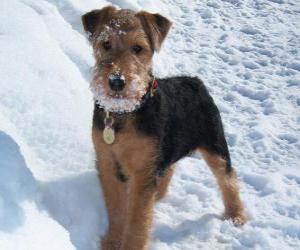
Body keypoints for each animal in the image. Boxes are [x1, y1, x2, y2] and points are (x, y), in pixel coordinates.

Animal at [81, 5, 246, 250]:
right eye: (106, 44)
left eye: (138, 48)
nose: (117, 82)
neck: (124, 113)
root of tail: (195, 81)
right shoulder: (107, 163)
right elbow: (117, 209)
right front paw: (112, 242)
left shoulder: (143, 171)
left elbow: (138, 218)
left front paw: (131, 245)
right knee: (169, 169)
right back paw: (158, 196)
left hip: (215, 144)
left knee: (229, 179)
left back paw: (236, 216)